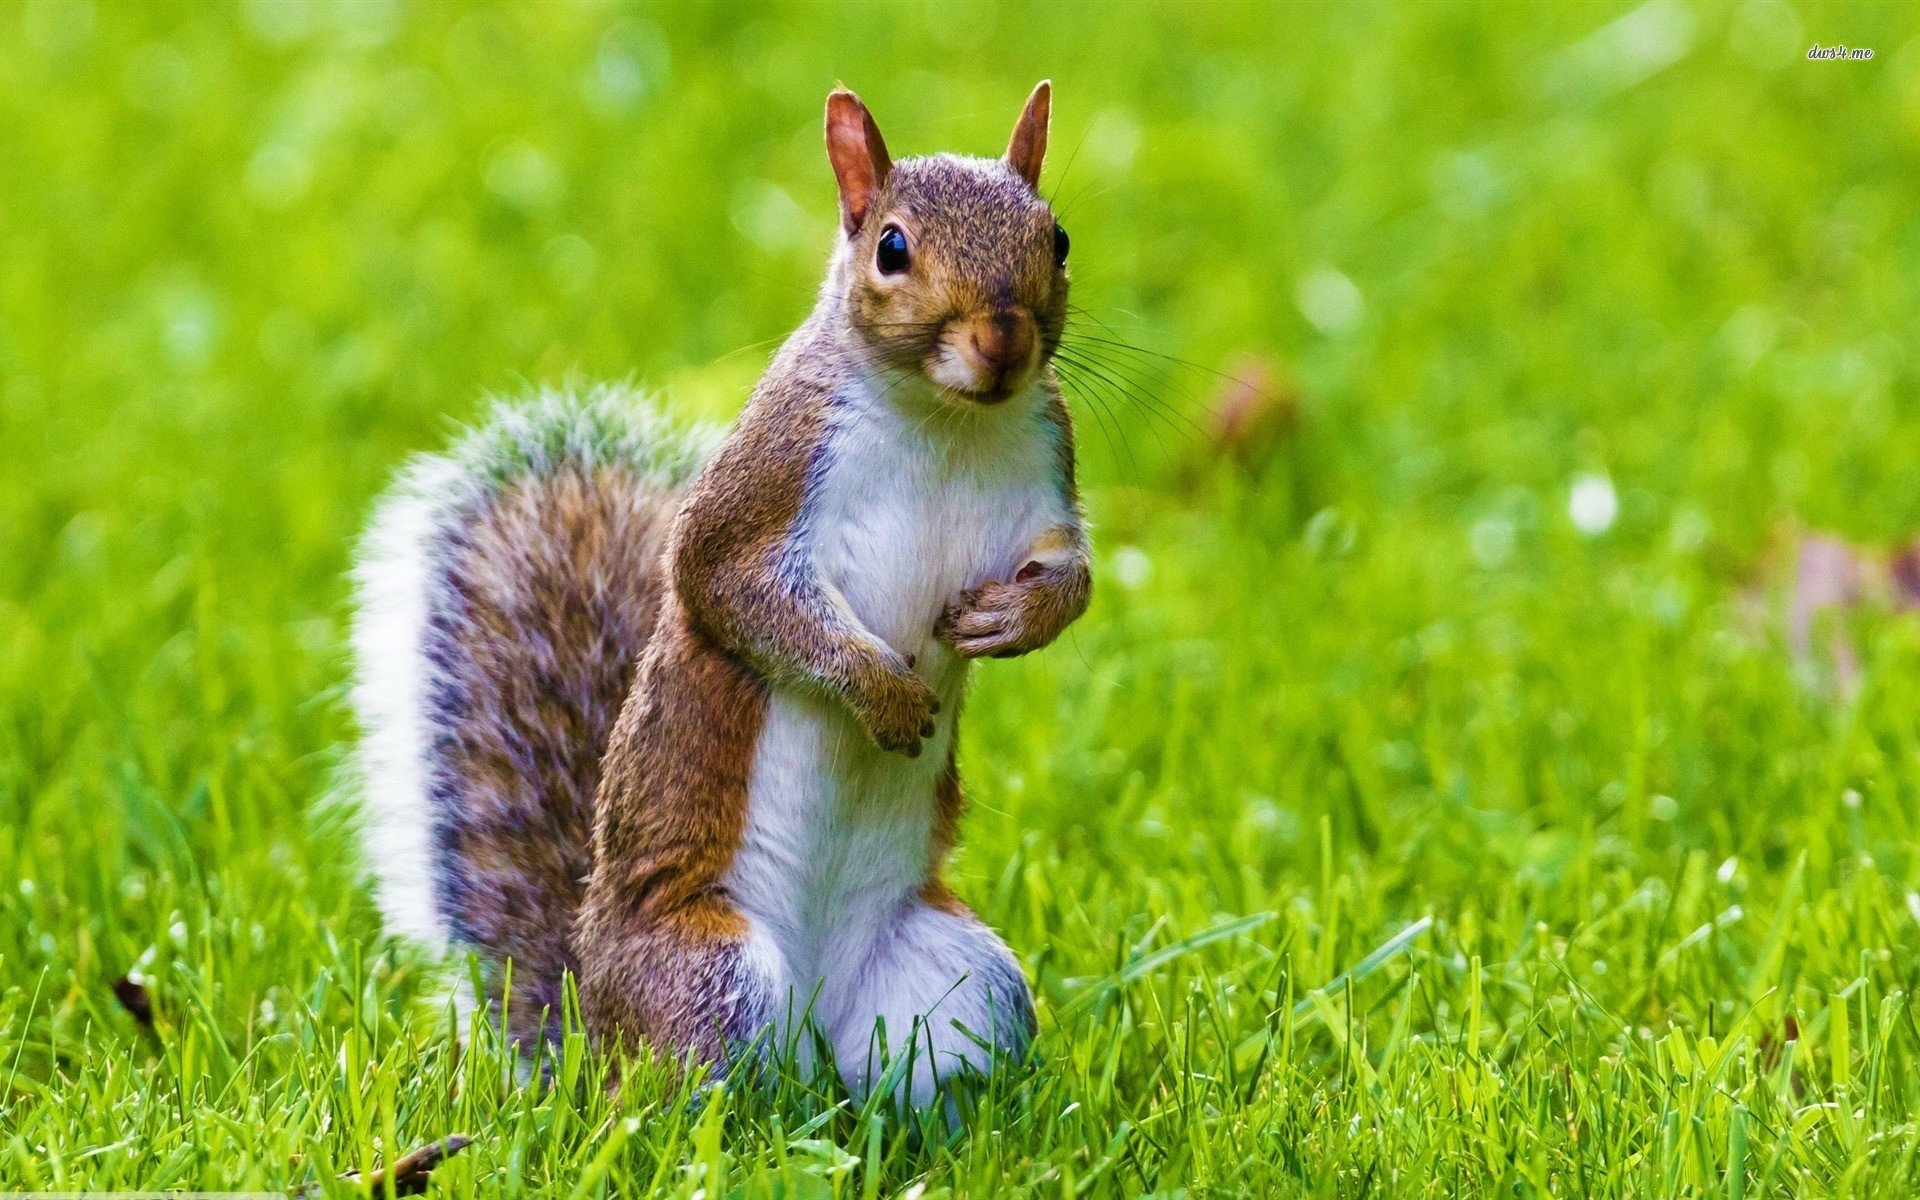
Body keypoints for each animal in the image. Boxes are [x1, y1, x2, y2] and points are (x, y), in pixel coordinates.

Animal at [349, 82, 1089, 1108]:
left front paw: (1014, 620)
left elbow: (1074, 577)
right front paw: (883, 692)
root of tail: (591, 1034)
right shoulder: (766, 483)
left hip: (963, 985)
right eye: (892, 248)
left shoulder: (1048, 477)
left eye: (1057, 237)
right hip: (711, 976)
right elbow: (728, 592)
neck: (948, 419)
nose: (1004, 341)